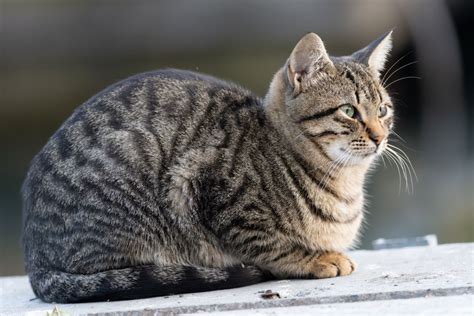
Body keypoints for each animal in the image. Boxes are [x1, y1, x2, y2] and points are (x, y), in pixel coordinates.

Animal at [21, 30, 392, 302]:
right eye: (348, 111)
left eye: (383, 110)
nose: (379, 136)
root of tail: (35, 262)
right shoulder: (209, 190)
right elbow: (271, 244)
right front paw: (317, 258)